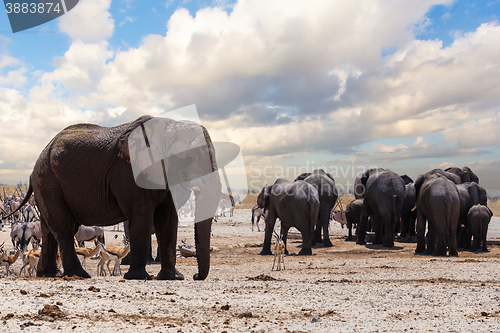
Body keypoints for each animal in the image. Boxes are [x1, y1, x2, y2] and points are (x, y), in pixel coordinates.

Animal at [5, 115, 221, 278]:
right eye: (189, 157)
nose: (196, 276)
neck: (168, 127)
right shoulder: (129, 173)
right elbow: (142, 214)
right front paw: (138, 277)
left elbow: (167, 218)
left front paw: (172, 278)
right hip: (49, 180)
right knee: (64, 228)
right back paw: (79, 275)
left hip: (46, 183)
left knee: (49, 229)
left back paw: (49, 274)